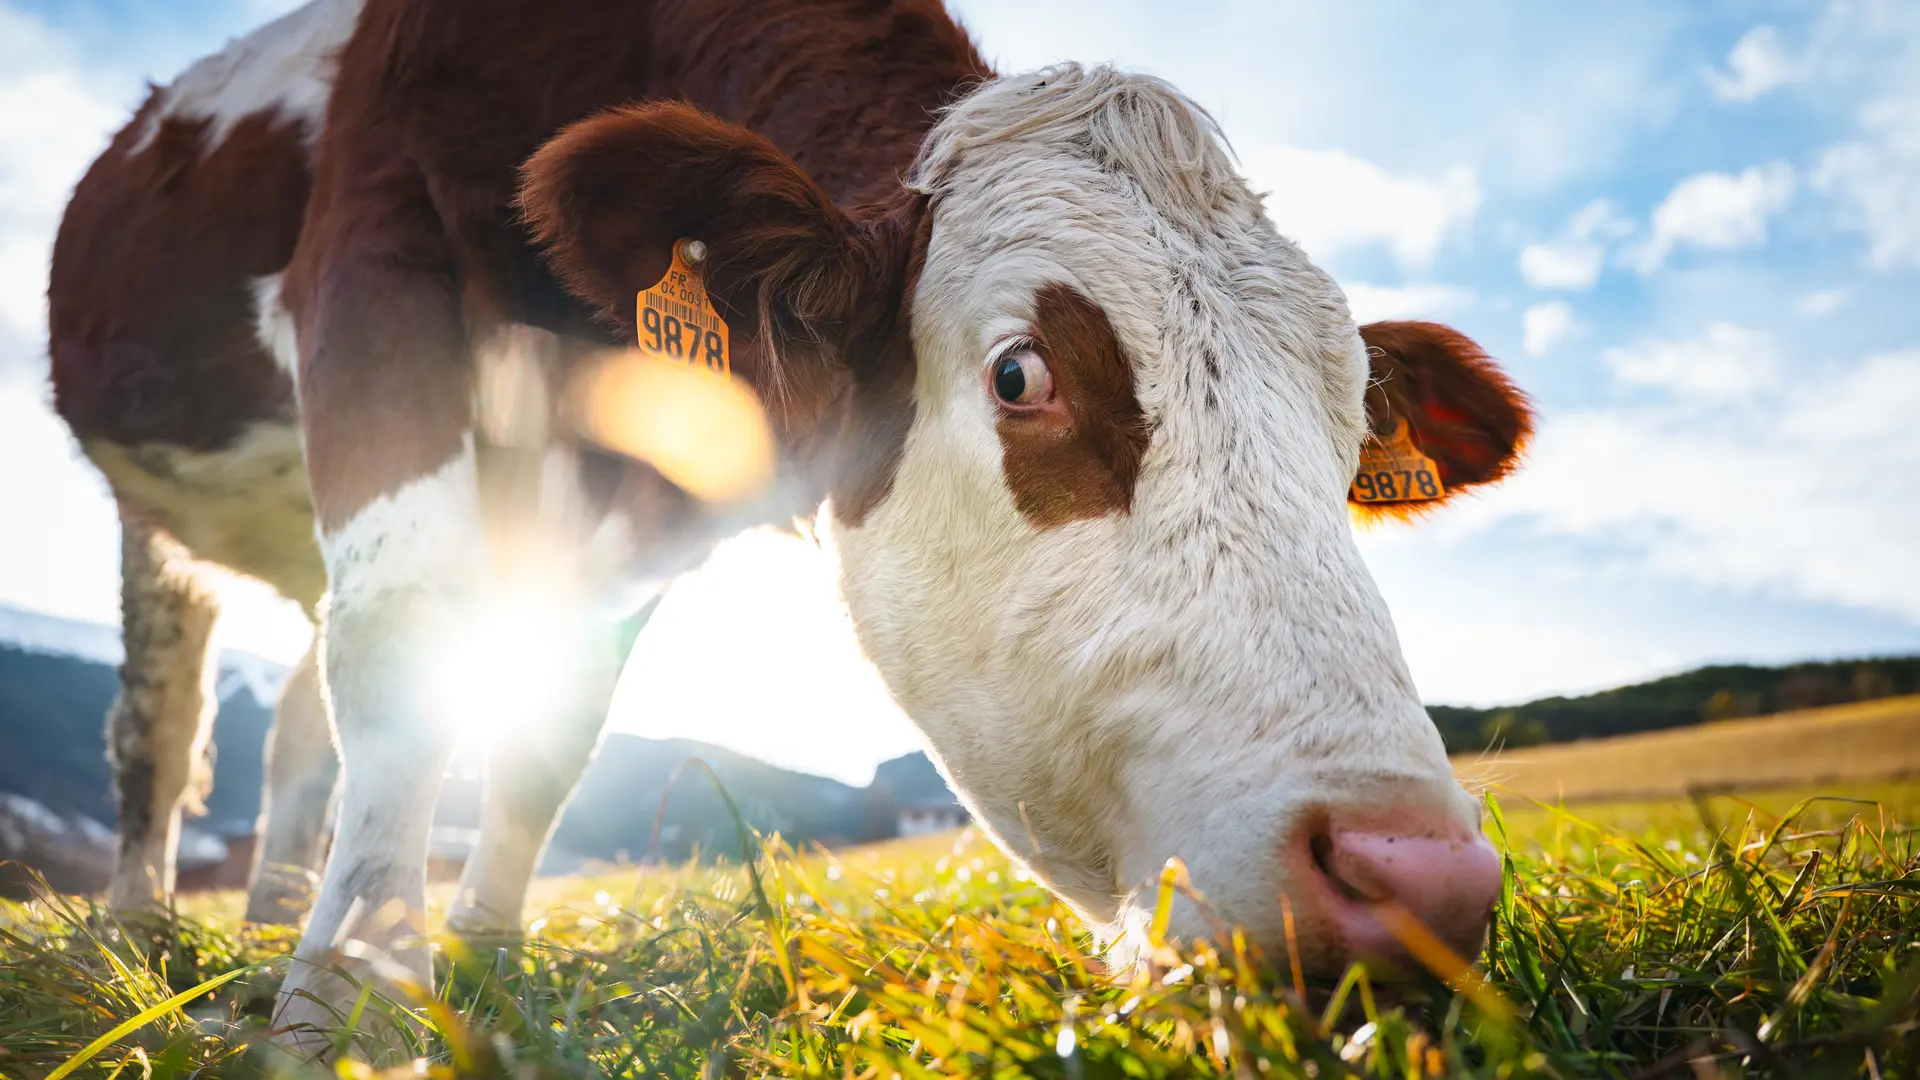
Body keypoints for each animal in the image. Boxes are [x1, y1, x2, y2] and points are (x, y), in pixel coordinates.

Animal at [48, 0, 1532, 1056]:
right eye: (1021, 374)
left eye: (1349, 420)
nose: (1414, 879)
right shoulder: (374, 245)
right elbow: (416, 641)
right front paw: (346, 1012)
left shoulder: (660, 470)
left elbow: (553, 719)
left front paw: (472, 963)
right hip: (151, 517)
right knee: (159, 732)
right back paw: (140, 942)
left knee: (302, 718)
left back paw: (273, 919)